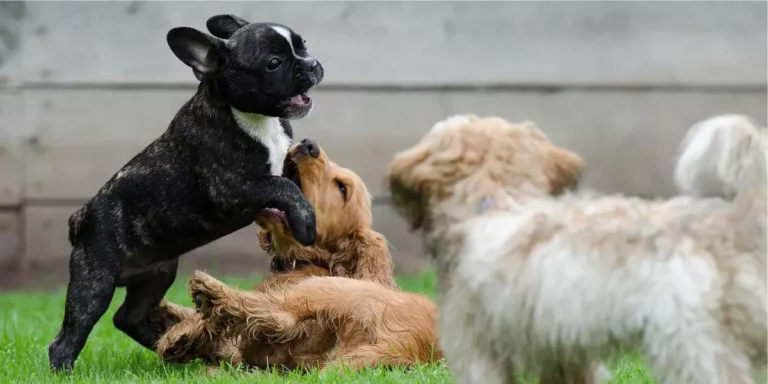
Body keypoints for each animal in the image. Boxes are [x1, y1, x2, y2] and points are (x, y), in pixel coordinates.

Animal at [48, 13, 324, 370]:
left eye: (303, 46)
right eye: (273, 63)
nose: (312, 63)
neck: (255, 119)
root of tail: (81, 217)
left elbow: (292, 180)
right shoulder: (232, 188)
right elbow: (283, 185)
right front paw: (305, 222)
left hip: (158, 273)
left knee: (128, 317)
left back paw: (173, 348)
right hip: (95, 281)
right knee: (69, 336)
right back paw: (67, 369)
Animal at [151, 140, 440, 370]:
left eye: (342, 189)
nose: (308, 144)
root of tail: (407, 346)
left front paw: (181, 330)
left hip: (327, 290)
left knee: (278, 315)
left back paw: (209, 292)